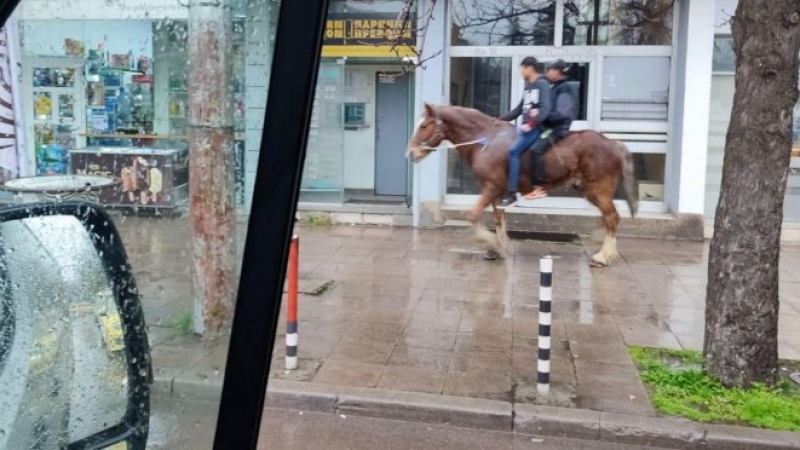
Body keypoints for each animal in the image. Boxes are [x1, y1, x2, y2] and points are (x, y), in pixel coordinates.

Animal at [406, 104, 636, 268]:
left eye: (424, 126)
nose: (410, 154)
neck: (485, 141)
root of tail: (614, 143)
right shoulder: (496, 192)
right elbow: (499, 219)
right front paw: (499, 249)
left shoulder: (490, 188)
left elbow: (473, 216)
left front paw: (491, 243)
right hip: (589, 190)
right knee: (608, 218)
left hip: (600, 189)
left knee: (612, 218)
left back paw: (603, 256)